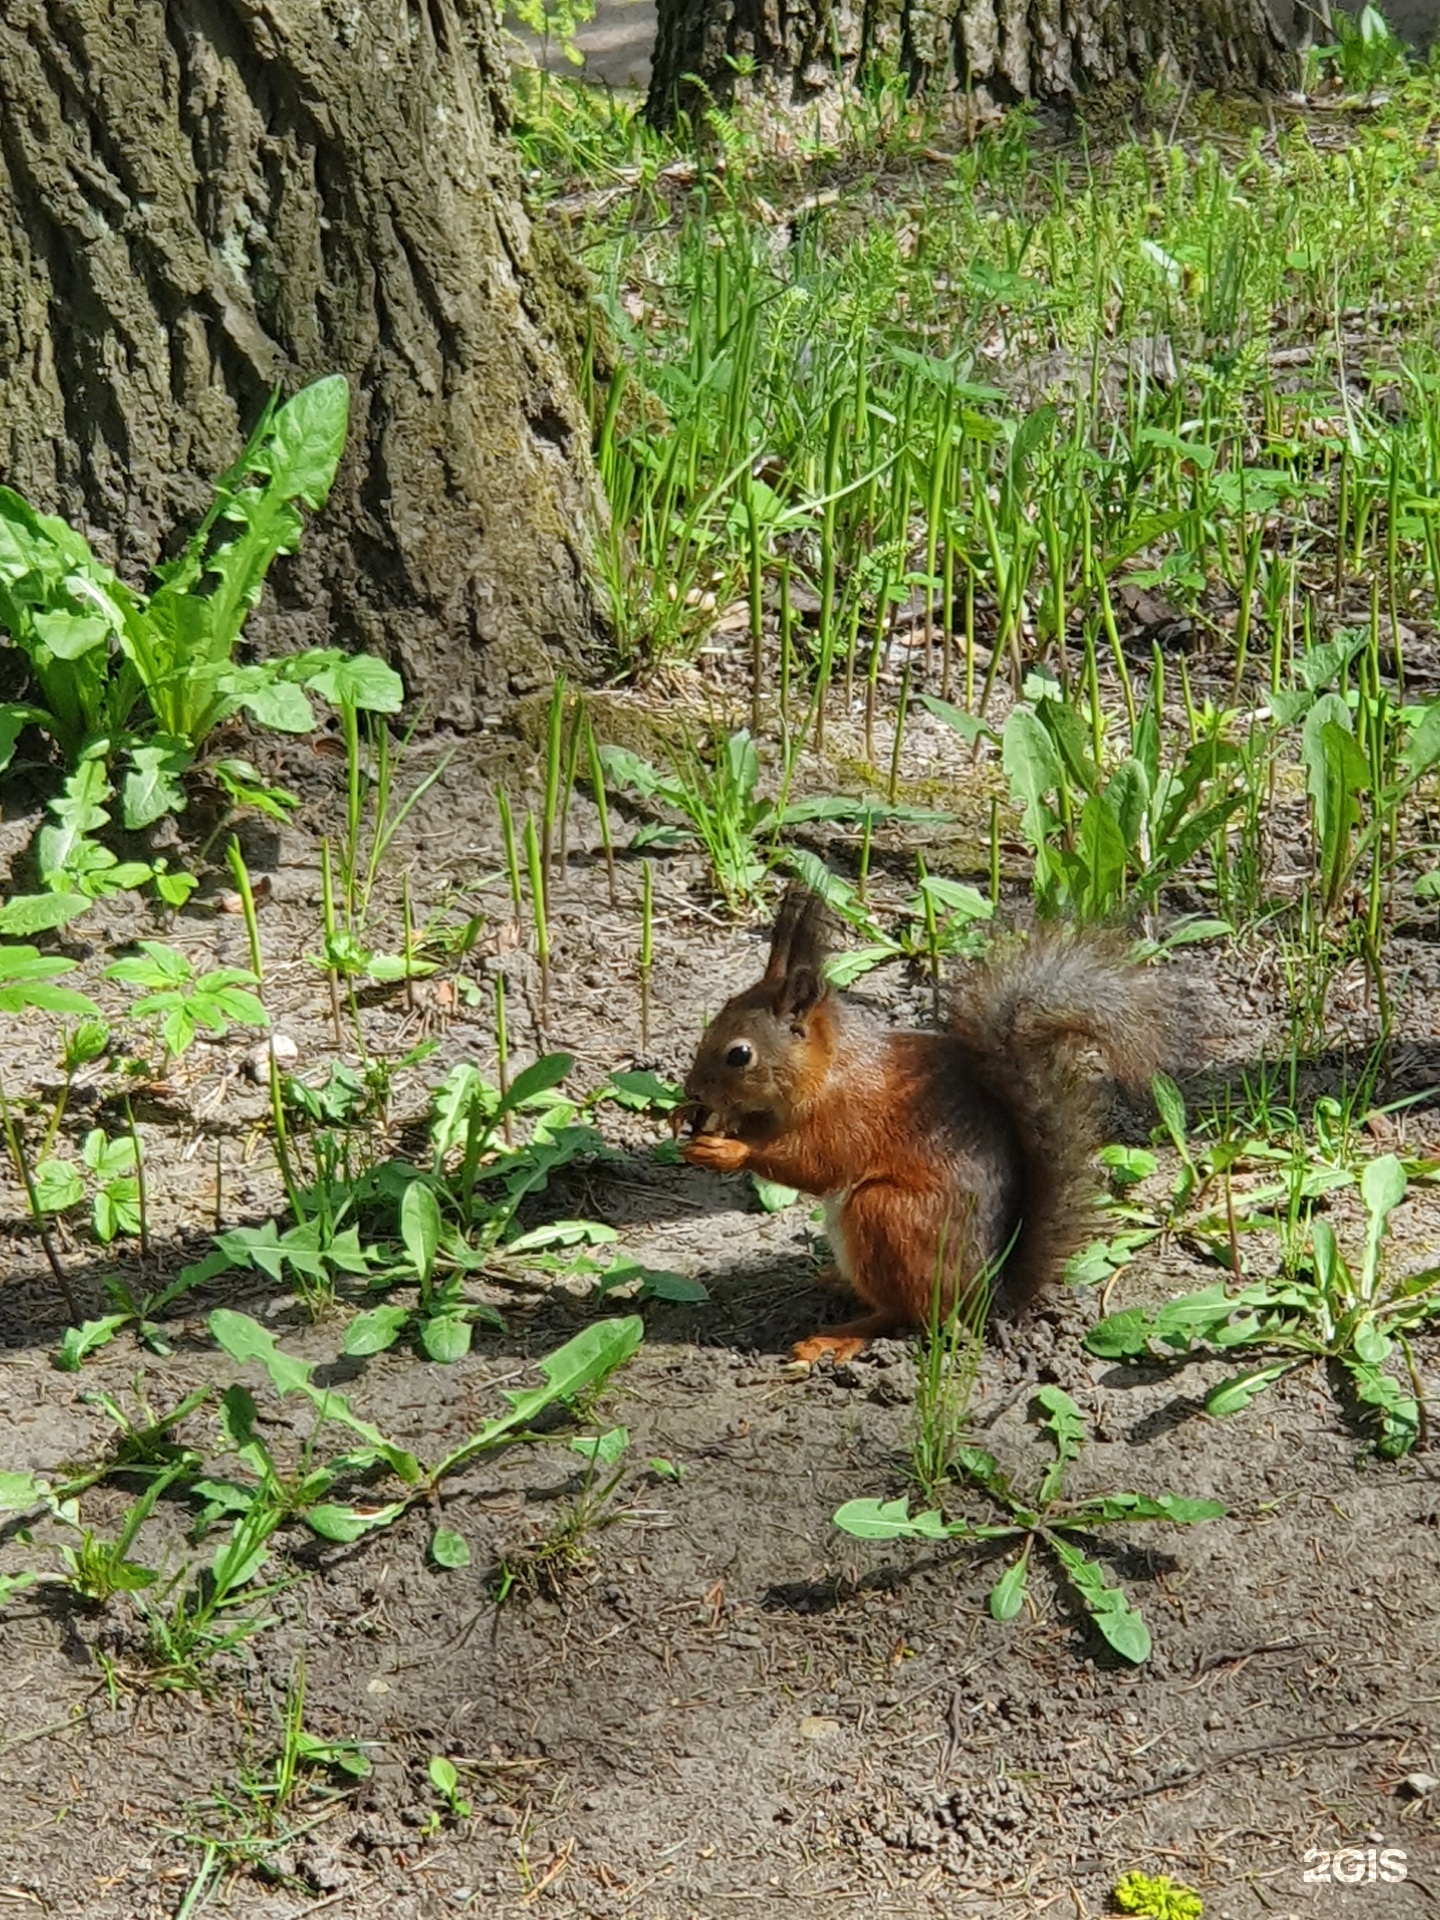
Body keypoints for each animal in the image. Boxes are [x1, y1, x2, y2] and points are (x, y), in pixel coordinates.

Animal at [683, 883, 1175, 1367]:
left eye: (739, 1054)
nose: (692, 1090)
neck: (827, 1069)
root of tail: (983, 1293)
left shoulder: (850, 1115)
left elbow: (816, 1165)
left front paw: (728, 1150)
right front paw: (714, 1124)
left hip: (884, 1215)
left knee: (905, 1314)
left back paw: (837, 1338)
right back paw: (838, 1281)